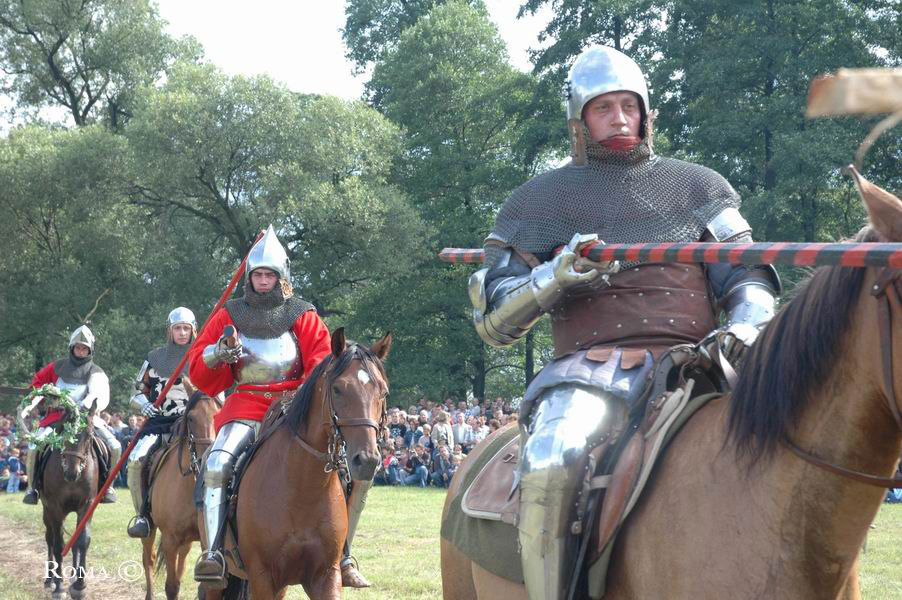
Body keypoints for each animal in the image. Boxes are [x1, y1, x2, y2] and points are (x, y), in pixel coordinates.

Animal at [40, 407, 101, 600]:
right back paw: (49, 579)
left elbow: (82, 541)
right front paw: (59, 587)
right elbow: (58, 544)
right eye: (64, 430)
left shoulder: (87, 506)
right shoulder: (54, 508)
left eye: (89, 435)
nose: (71, 473)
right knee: (50, 539)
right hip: (47, 512)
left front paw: (79, 586)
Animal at [139, 387, 221, 600]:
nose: (207, 459)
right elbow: (172, 586)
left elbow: (204, 587)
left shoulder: (206, 542)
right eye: (191, 418)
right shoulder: (170, 539)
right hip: (150, 529)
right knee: (149, 559)